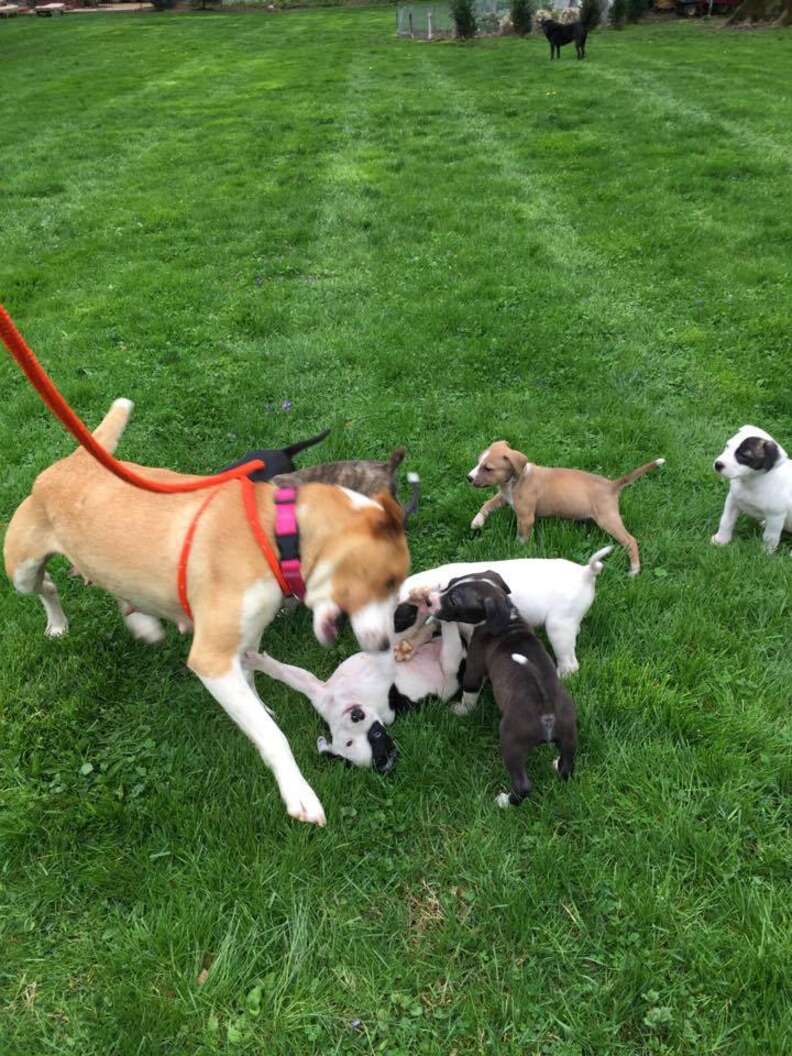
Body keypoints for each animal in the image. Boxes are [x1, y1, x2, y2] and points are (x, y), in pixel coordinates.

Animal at [6, 397, 411, 823]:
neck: (276, 535)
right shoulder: (212, 659)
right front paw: (297, 792)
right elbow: (273, 736)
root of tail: (74, 461)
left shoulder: (245, 640)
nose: (387, 647)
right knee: (47, 585)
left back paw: (142, 621)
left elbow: (252, 686)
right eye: (386, 581)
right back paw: (59, 624)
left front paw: (258, 707)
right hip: (21, 571)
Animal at [428, 570, 578, 806]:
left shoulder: (475, 664)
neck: (507, 619)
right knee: (567, 767)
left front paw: (461, 710)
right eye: (451, 583)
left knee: (523, 785)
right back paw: (557, 765)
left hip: (511, 741)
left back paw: (504, 801)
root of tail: (547, 711)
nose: (429, 600)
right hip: (570, 734)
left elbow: (470, 691)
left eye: (454, 600)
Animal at [468, 443, 667, 582]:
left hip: (608, 519)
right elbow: (487, 504)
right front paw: (477, 521)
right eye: (478, 463)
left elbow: (522, 537)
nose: (468, 478)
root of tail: (612, 485)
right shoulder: (504, 497)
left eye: (488, 468)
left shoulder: (525, 518)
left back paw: (634, 569)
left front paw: (516, 551)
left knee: (630, 540)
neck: (517, 479)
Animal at [713, 424, 792, 553]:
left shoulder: (776, 516)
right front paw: (721, 540)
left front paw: (765, 553)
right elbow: (726, 521)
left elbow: (769, 536)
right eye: (727, 446)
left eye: (744, 455)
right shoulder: (732, 501)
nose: (718, 464)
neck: (751, 481)